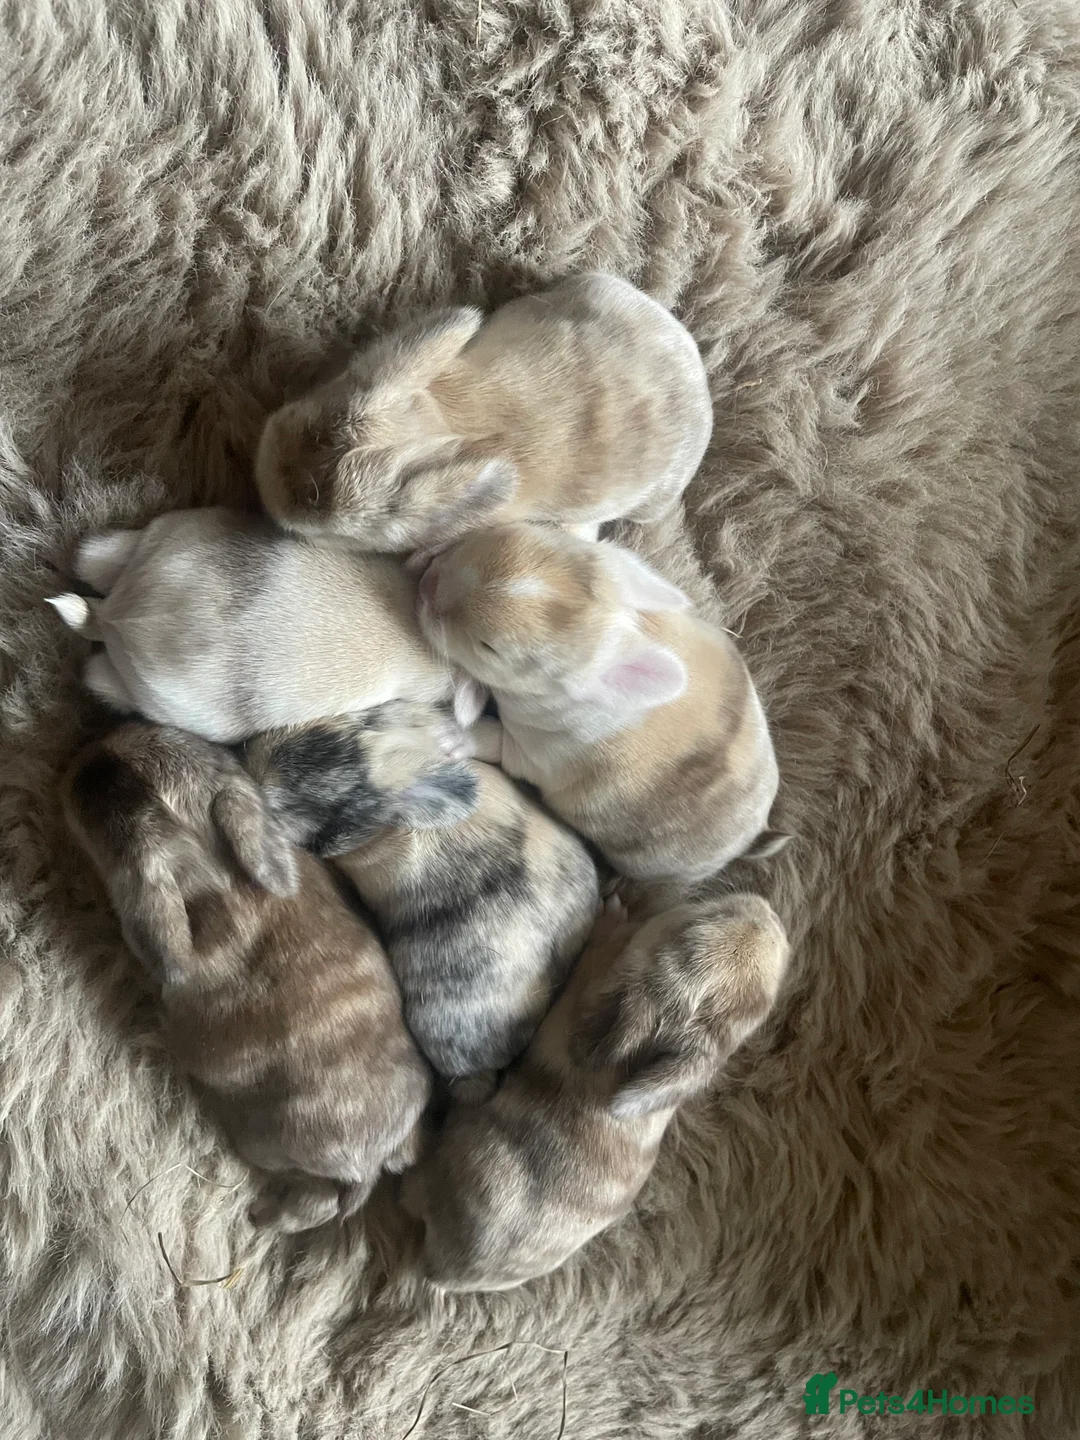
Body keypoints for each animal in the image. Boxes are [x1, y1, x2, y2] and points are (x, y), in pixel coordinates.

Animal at [62, 721, 431, 1233]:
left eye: (90, 793)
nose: (85, 751)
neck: (221, 881)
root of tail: (369, 1163)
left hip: (281, 1154)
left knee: (316, 1203)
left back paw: (265, 1216)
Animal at [402, 892, 791, 1291]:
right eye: (703, 918)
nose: (770, 911)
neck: (637, 1058)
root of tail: (439, 1269)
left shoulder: (590, 979)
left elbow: (597, 951)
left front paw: (611, 919)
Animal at [416, 522, 789, 883]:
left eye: (488, 648)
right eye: (502, 533)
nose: (429, 581)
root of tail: (752, 839)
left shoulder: (531, 752)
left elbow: (491, 739)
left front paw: (448, 733)